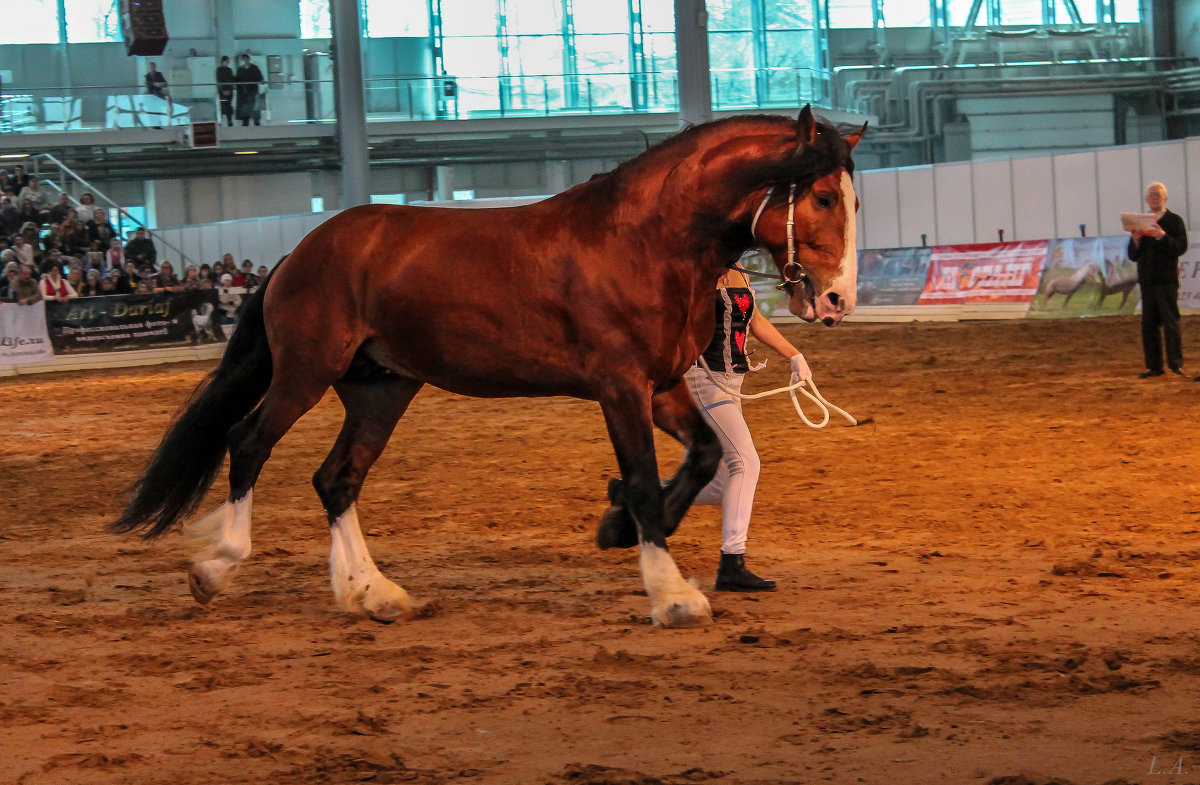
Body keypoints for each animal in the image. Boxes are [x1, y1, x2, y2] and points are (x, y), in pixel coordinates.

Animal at [112, 107, 864, 628]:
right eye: (822, 197)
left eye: (852, 199)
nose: (837, 300)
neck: (647, 242)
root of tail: (300, 251)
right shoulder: (619, 387)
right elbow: (645, 482)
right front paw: (672, 593)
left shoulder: (664, 385)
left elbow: (705, 455)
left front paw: (616, 528)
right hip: (306, 370)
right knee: (248, 442)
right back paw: (216, 568)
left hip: (381, 389)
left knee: (337, 478)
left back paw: (373, 594)